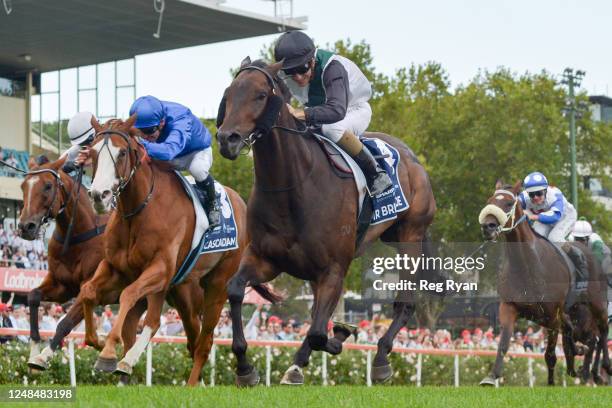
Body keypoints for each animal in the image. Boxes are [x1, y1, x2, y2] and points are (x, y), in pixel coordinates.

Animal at [82, 117, 274, 386]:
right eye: (92, 152)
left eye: (122, 153)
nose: (99, 196)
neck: (139, 209)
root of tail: (241, 202)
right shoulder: (116, 268)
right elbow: (88, 291)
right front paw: (97, 341)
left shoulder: (160, 269)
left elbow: (128, 295)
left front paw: (108, 352)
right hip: (181, 292)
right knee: (178, 332)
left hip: (216, 285)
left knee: (203, 342)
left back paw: (193, 383)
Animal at [218, 58, 438, 386]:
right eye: (229, 94)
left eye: (260, 95)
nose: (226, 139)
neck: (292, 185)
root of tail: (413, 158)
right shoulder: (266, 258)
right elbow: (235, 290)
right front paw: (245, 368)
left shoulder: (333, 268)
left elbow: (320, 332)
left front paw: (341, 334)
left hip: (410, 236)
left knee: (405, 303)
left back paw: (381, 359)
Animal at [480, 182, 608, 386]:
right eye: (489, 201)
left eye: (508, 203)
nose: (487, 226)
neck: (527, 265)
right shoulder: (509, 307)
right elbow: (504, 343)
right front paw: (491, 376)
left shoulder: (552, 316)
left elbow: (550, 355)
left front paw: (551, 383)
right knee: (577, 333)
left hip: (597, 303)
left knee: (602, 332)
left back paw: (600, 369)